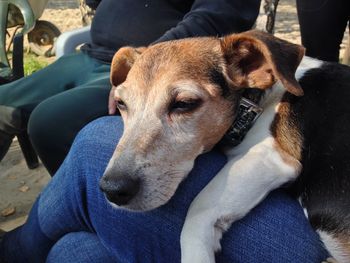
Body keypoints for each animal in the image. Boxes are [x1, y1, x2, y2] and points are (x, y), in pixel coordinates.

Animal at [98, 29, 350, 262]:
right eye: (121, 103)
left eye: (184, 103)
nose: (113, 190)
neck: (253, 103)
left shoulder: (269, 157)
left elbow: (198, 210)